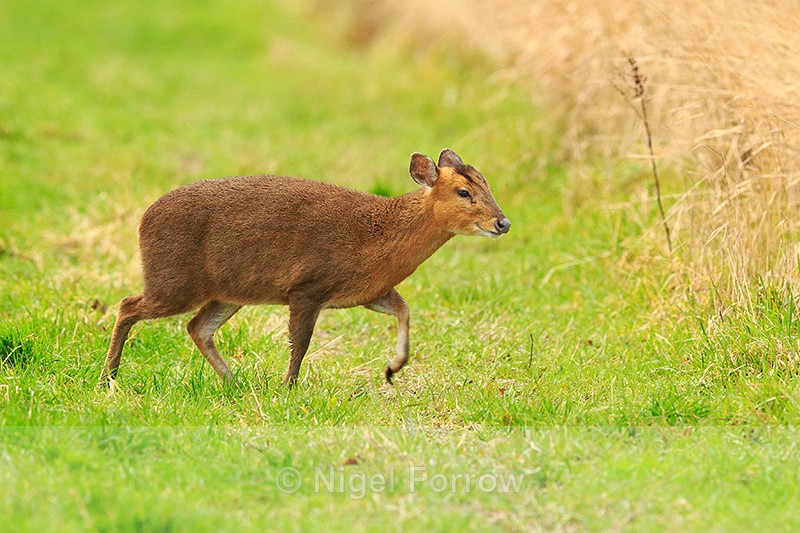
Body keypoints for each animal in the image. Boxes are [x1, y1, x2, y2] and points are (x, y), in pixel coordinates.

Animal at [100, 149, 510, 388]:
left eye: (487, 184)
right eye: (463, 192)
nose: (502, 222)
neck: (378, 239)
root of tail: (143, 220)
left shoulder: (367, 292)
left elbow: (404, 310)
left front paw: (393, 368)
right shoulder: (307, 286)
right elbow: (301, 342)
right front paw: (289, 387)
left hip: (228, 291)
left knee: (197, 327)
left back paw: (236, 382)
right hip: (173, 280)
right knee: (128, 305)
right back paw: (109, 377)